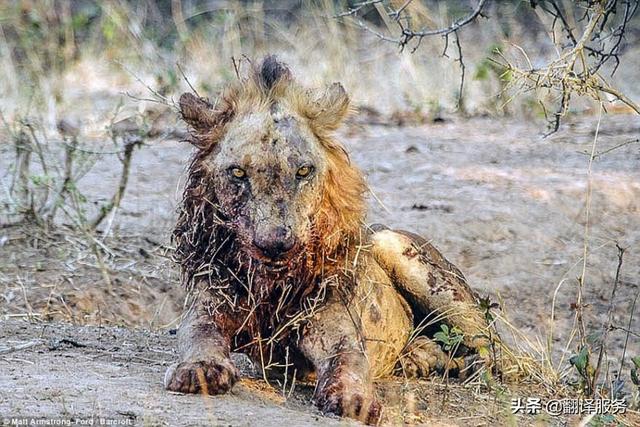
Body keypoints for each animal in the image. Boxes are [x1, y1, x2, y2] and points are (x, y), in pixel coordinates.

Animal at [164, 56, 500, 424]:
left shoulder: (338, 331)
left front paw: (354, 399)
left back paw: (473, 366)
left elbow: (350, 363)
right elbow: (198, 336)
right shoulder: (206, 307)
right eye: (238, 173)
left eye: (303, 171)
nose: (276, 244)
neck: (271, 287)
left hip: (397, 248)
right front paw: (200, 370)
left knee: (494, 346)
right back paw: (418, 356)